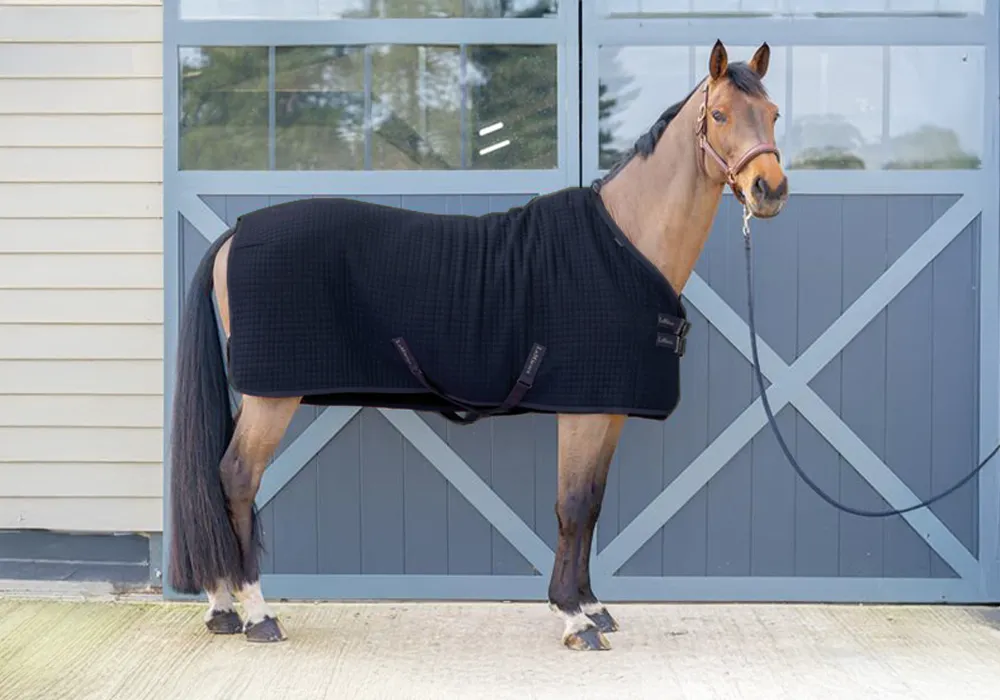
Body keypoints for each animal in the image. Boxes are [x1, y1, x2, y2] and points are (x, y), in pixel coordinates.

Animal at [167, 39, 788, 652]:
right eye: (719, 114)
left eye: (774, 114)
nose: (770, 190)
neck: (624, 242)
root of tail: (238, 231)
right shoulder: (582, 413)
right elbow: (572, 505)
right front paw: (574, 618)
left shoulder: (608, 409)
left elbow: (592, 505)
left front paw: (593, 605)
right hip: (272, 398)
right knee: (237, 477)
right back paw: (256, 614)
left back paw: (221, 608)